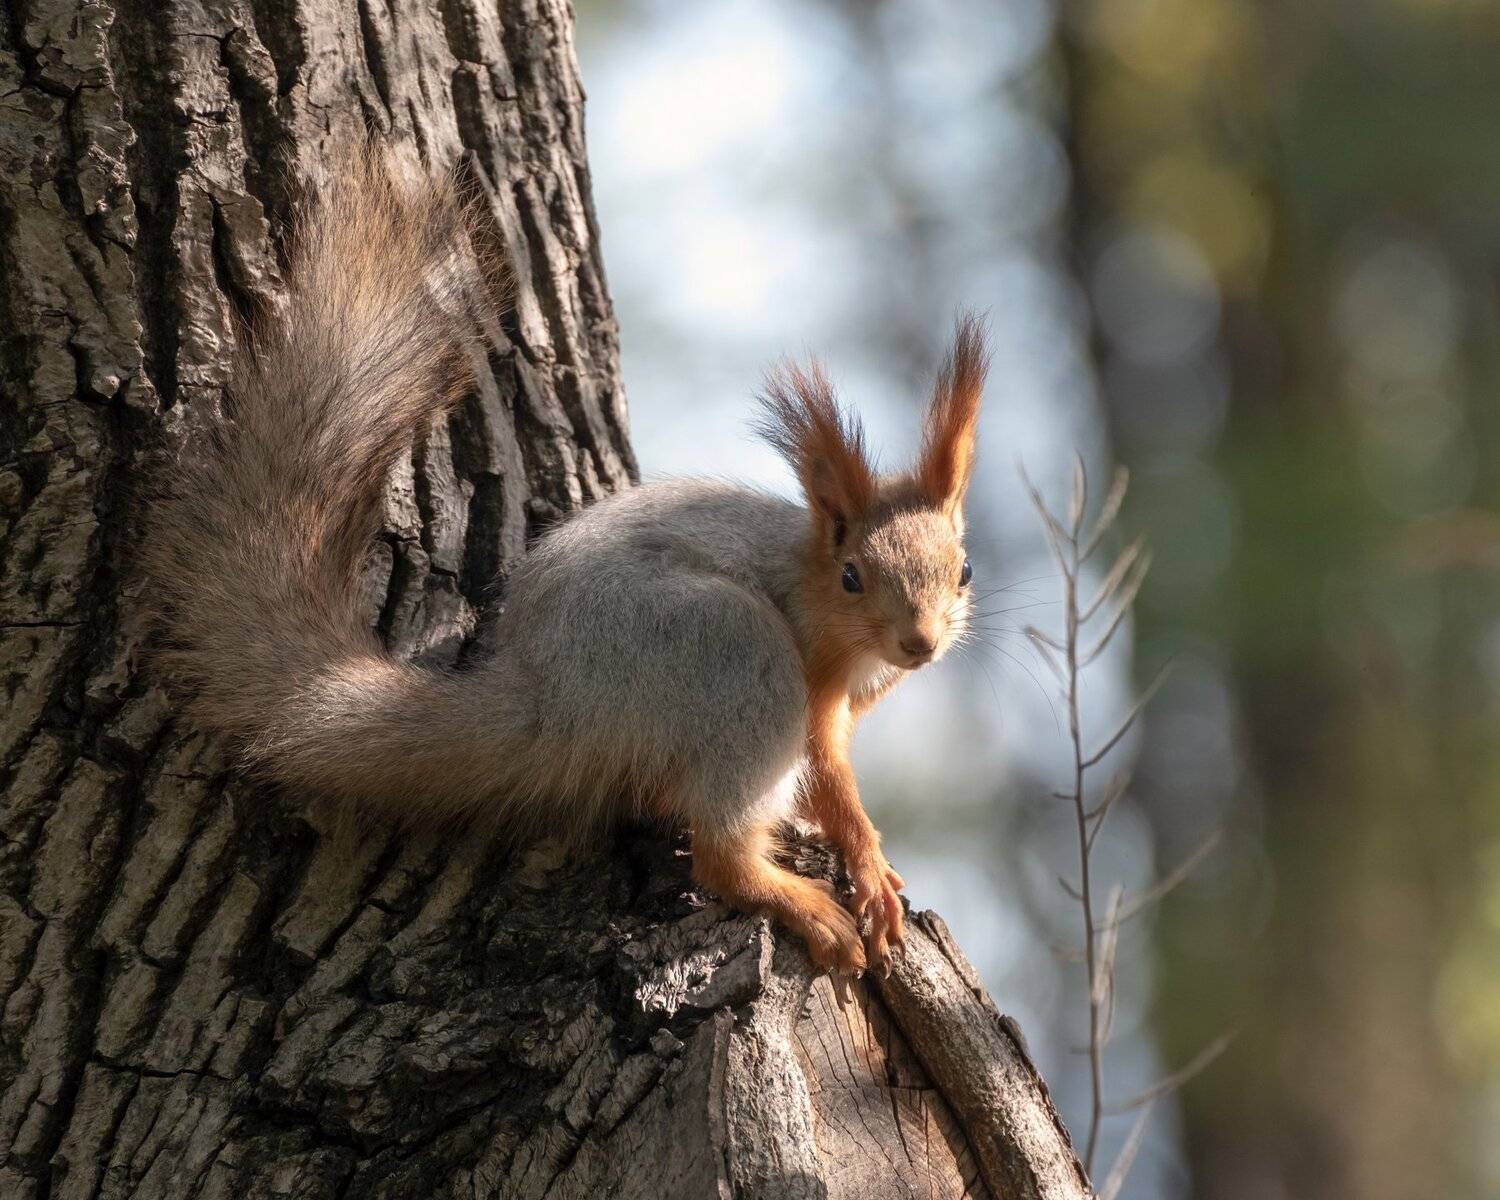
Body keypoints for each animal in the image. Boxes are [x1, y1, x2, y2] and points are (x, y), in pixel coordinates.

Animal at [142, 152, 987, 976]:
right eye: (852, 577)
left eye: (965, 571)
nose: (920, 643)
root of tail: (551, 700)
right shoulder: (812, 678)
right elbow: (827, 773)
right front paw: (865, 860)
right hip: (725, 647)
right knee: (717, 855)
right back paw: (800, 903)